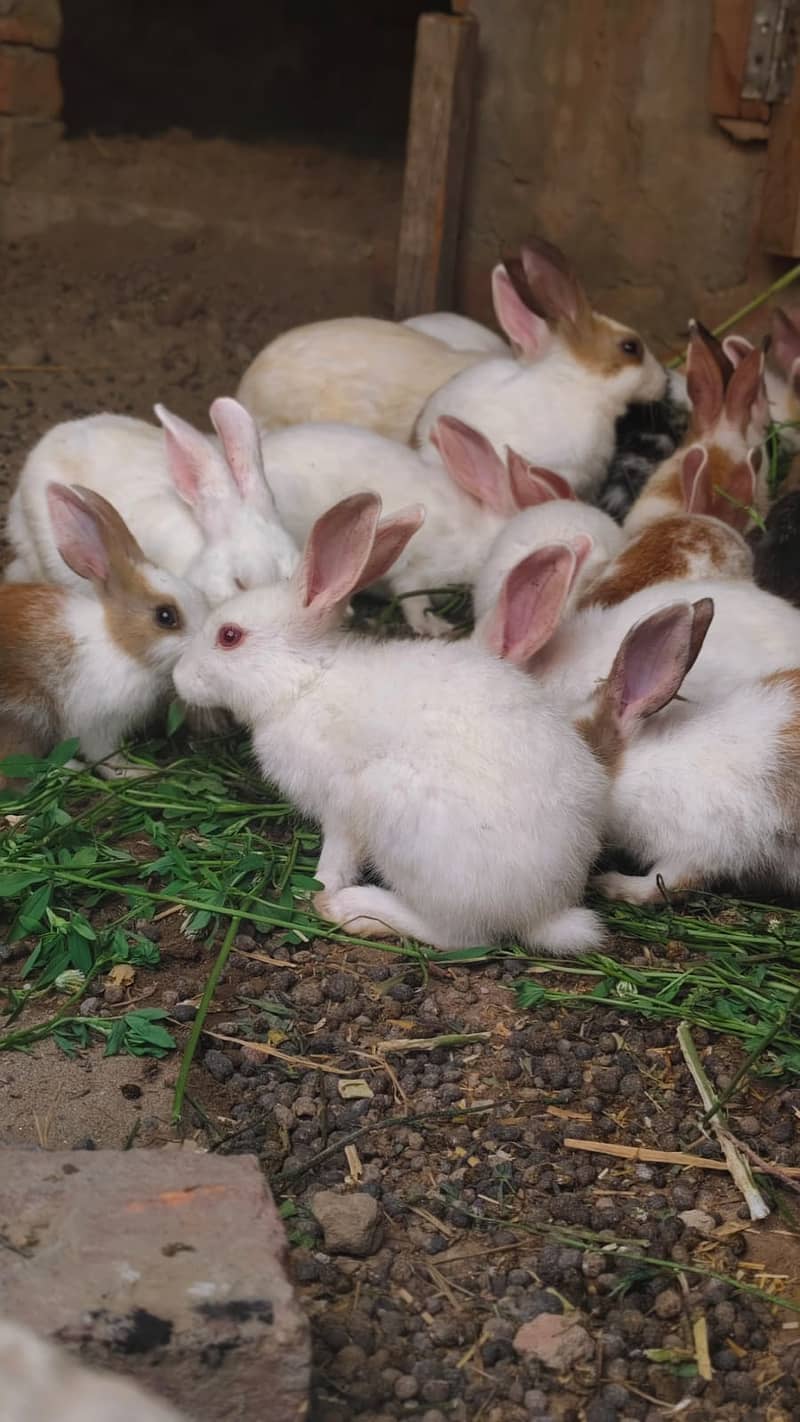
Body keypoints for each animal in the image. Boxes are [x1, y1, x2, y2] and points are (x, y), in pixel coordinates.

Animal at [0, 483, 208, 781]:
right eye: (166, 616)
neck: (121, 646)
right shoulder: (96, 727)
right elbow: (107, 759)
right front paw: (139, 772)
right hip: (26, 717)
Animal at [173, 492, 609, 955]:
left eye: (229, 636)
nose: (178, 679)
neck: (305, 681)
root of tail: (547, 908)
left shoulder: (340, 808)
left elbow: (336, 860)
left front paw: (319, 892)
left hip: (403, 824)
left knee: (456, 935)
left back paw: (356, 910)